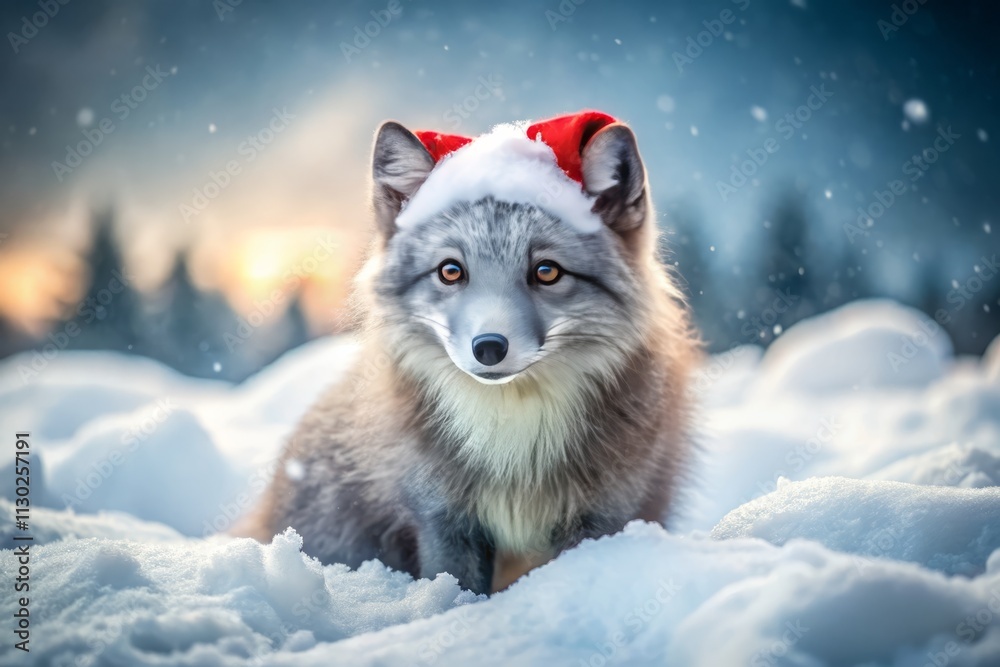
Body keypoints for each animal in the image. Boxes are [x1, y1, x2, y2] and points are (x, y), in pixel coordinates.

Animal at [242, 111, 700, 595]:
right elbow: (456, 594)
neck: (515, 439)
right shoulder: (443, 519)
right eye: (450, 271)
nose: (490, 347)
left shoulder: (602, 517)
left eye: (547, 271)